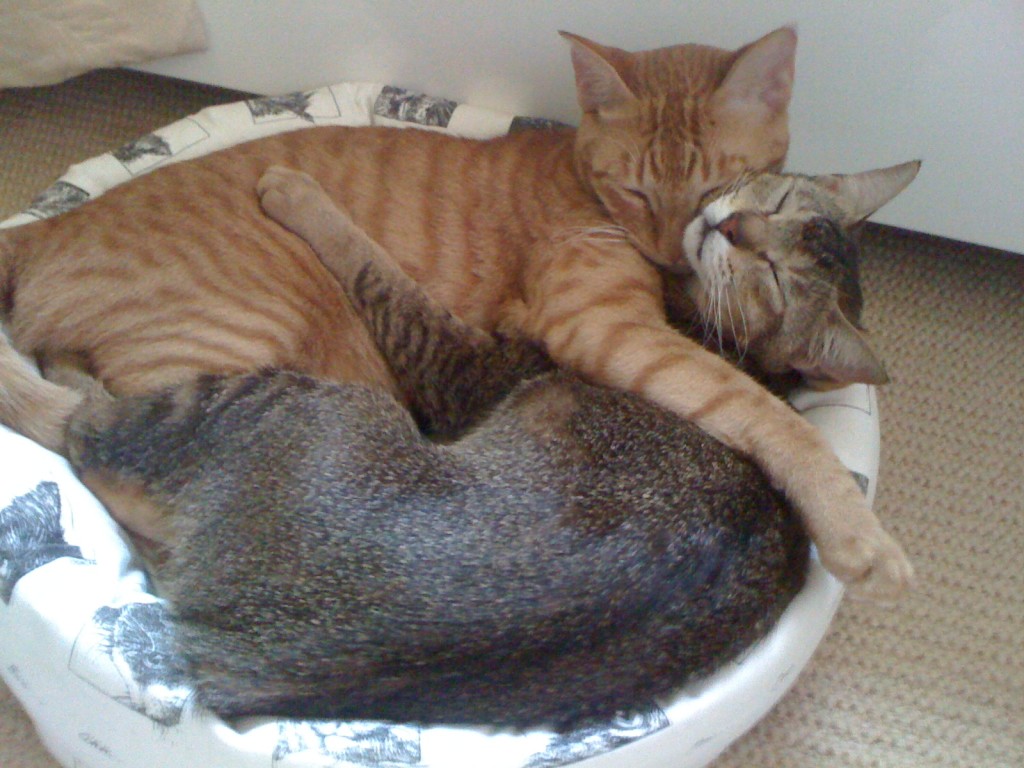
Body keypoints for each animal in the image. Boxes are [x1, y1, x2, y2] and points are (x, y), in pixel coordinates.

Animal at [0, 28, 913, 602]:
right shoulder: (603, 328)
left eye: (727, 184)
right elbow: (763, 414)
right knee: (108, 458)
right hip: (250, 361)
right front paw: (855, 530)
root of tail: (46, 226)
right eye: (635, 192)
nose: (682, 242)